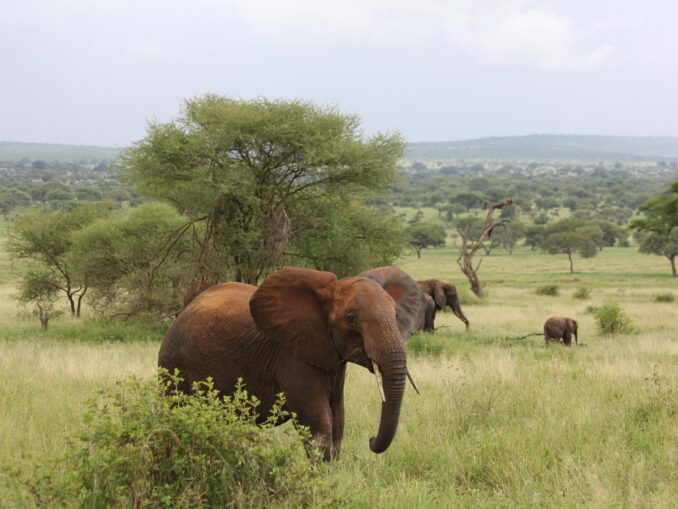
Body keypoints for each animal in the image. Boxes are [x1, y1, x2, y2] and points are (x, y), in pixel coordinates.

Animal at [158, 266, 411, 461]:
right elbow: (318, 424)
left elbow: (338, 421)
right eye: (351, 319)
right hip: (172, 366)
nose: (371, 439)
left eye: (396, 314)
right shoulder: (291, 357)